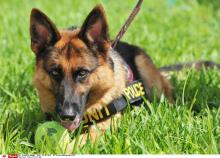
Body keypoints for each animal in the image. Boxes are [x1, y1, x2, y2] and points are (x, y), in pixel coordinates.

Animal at [29, 5, 218, 139]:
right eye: (55, 72)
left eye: (83, 73)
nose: (67, 115)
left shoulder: (108, 123)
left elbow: (88, 137)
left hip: (148, 73)